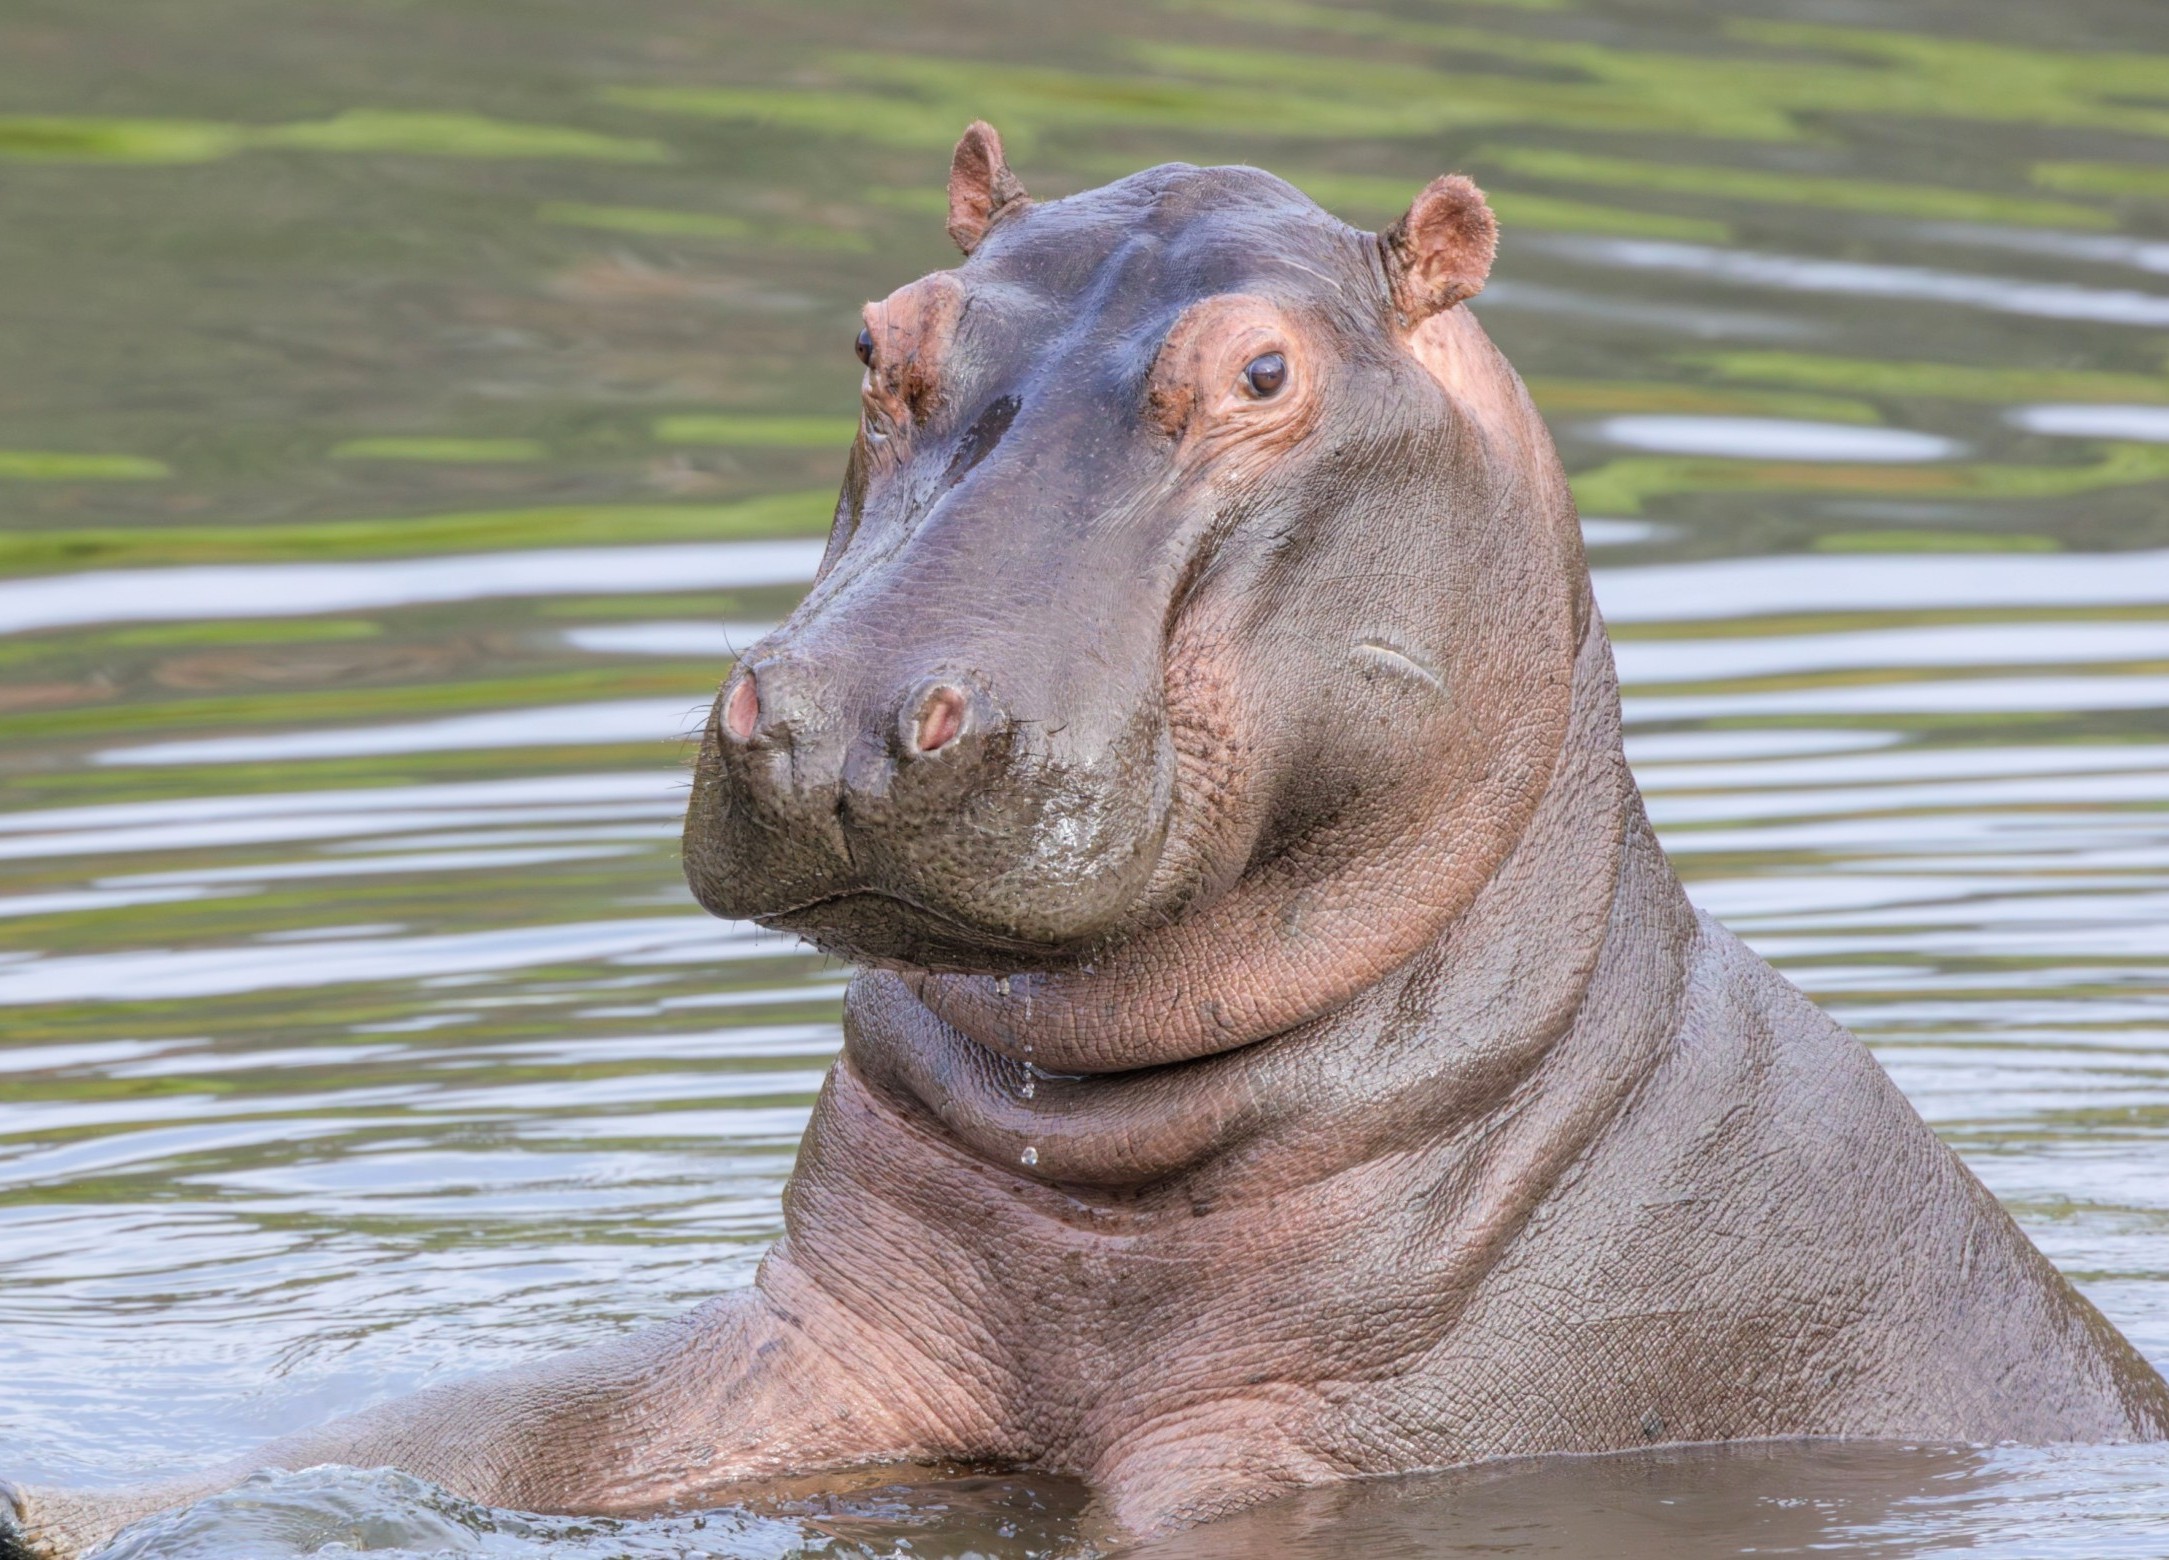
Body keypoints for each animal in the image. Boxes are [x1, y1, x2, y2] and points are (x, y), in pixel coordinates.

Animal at [7, 122, 2166, 1559]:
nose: (842, 717)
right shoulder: (834, 1336)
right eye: (878, 332)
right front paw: (74, 1500)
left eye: (1265, 371)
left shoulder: (1301, 1440)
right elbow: (475, 1421)